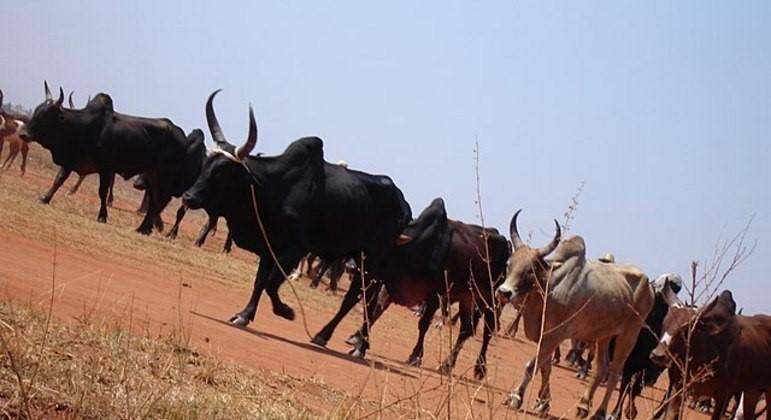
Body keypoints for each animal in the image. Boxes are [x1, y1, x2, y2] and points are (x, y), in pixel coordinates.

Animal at [182, 89, 414, 332]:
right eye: (207, 162)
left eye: (223, 170)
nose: (188, 197)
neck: (273, 188)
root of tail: (403, 204)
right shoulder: (269, 248)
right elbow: (260, 282)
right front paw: (244, 315)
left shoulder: (295, 249)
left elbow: (271, 283)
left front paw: (286, 311)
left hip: (370, 258)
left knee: (354, 298)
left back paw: (326, 335)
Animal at [328, 199, 512, 378]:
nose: (351, 267)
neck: (416, 248)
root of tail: (504, 242)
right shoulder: (388, 287)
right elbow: (374, 313)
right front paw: (358, 342)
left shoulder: (435, 296)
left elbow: (423, 324)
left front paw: (415, 356)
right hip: (467, 298)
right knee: (466, 330)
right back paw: (447, 365)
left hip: (491, 300)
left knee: (488, 331)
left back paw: (480, 368)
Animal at [498, 210, 656, 420]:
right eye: (509, 264)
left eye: (531, 270)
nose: (504, 292)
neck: (549, 288)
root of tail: (650, 286)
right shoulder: (546, 336)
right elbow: (545, 368)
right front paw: (543, 403)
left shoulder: (554, 335)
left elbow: (532, 366)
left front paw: (516, 396)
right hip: (604, 335)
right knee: (601, 368)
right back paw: (583, 406)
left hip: (629, 335)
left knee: (614, 374)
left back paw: (600, 412)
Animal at [652, 290, 771, 420]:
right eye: (665, 322)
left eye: (686, 328)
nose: (657, 355)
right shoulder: (677, 387)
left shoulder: (723, 395)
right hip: (752, 392)